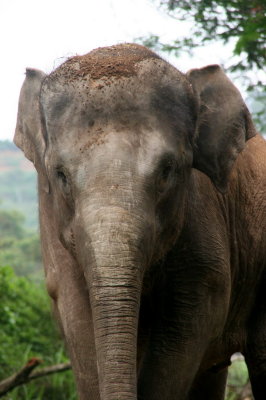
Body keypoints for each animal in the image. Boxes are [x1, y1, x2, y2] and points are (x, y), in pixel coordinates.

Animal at [14, 42, 266, 398]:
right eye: (60, 175)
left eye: (167, 170)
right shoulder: (50, 218)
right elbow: (76, 314)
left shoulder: (204, 227)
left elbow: (191, 316)